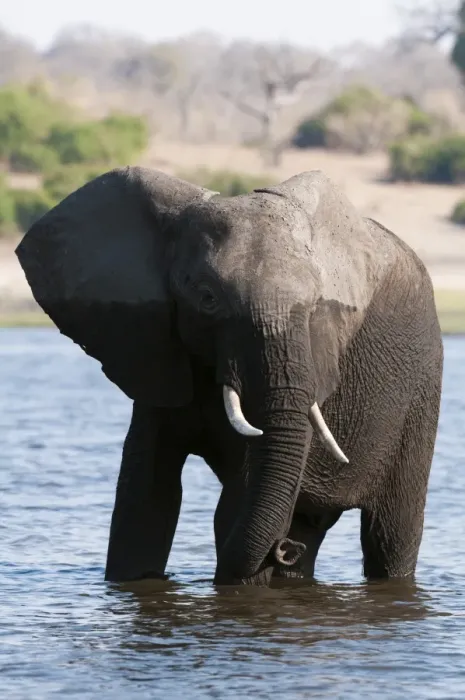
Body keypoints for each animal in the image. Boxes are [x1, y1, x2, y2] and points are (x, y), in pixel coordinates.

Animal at [15, 166, 444, 587]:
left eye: (314, 306)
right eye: (208, 299)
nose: (281, 549)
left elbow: (233, 503)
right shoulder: (156, 353)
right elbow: (145, 494)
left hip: (420, 398)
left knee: (389, 535)